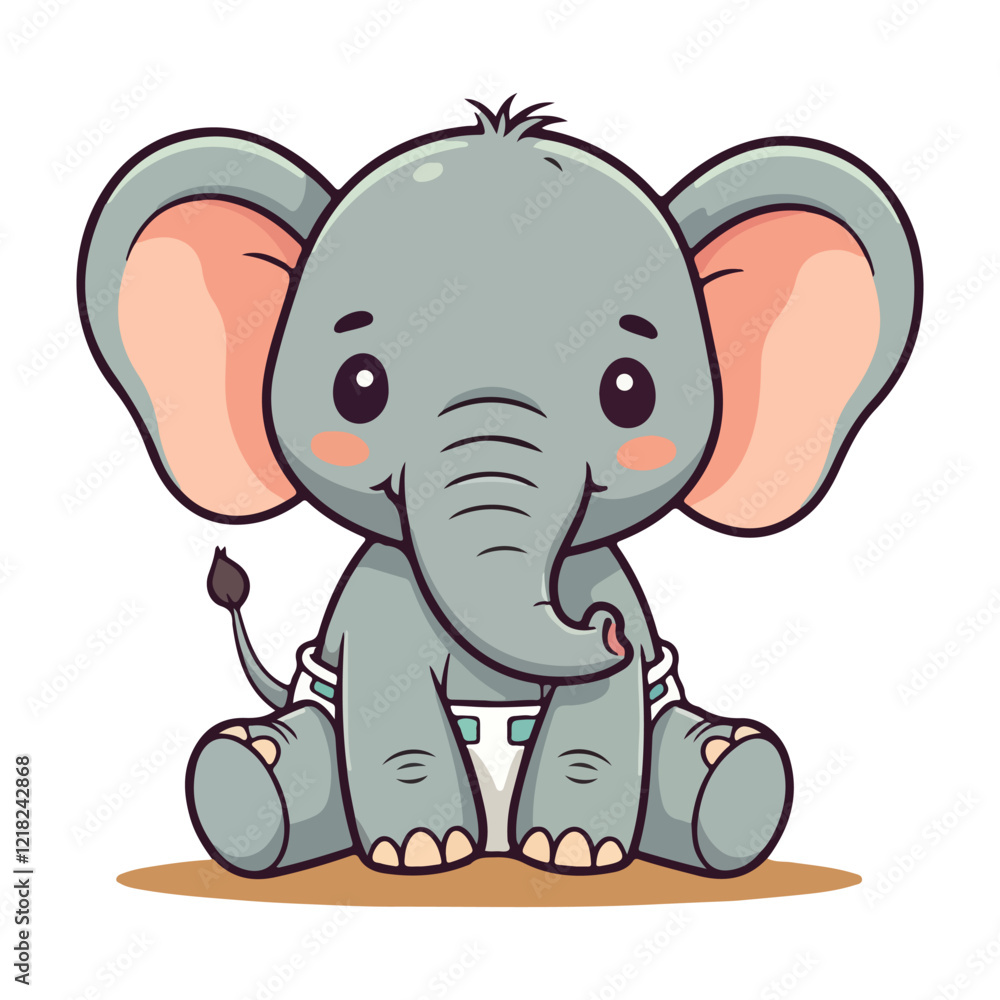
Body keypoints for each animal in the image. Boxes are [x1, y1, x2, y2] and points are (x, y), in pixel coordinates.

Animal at [78, 97, 920, 880]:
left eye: (630, 391)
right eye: (357, 387)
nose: (605, 628)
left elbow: (604, 712)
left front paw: (573, 851)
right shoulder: (385, 603)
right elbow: (393, 702)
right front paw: (420, 853)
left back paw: (734, 769)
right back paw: (251, 774)